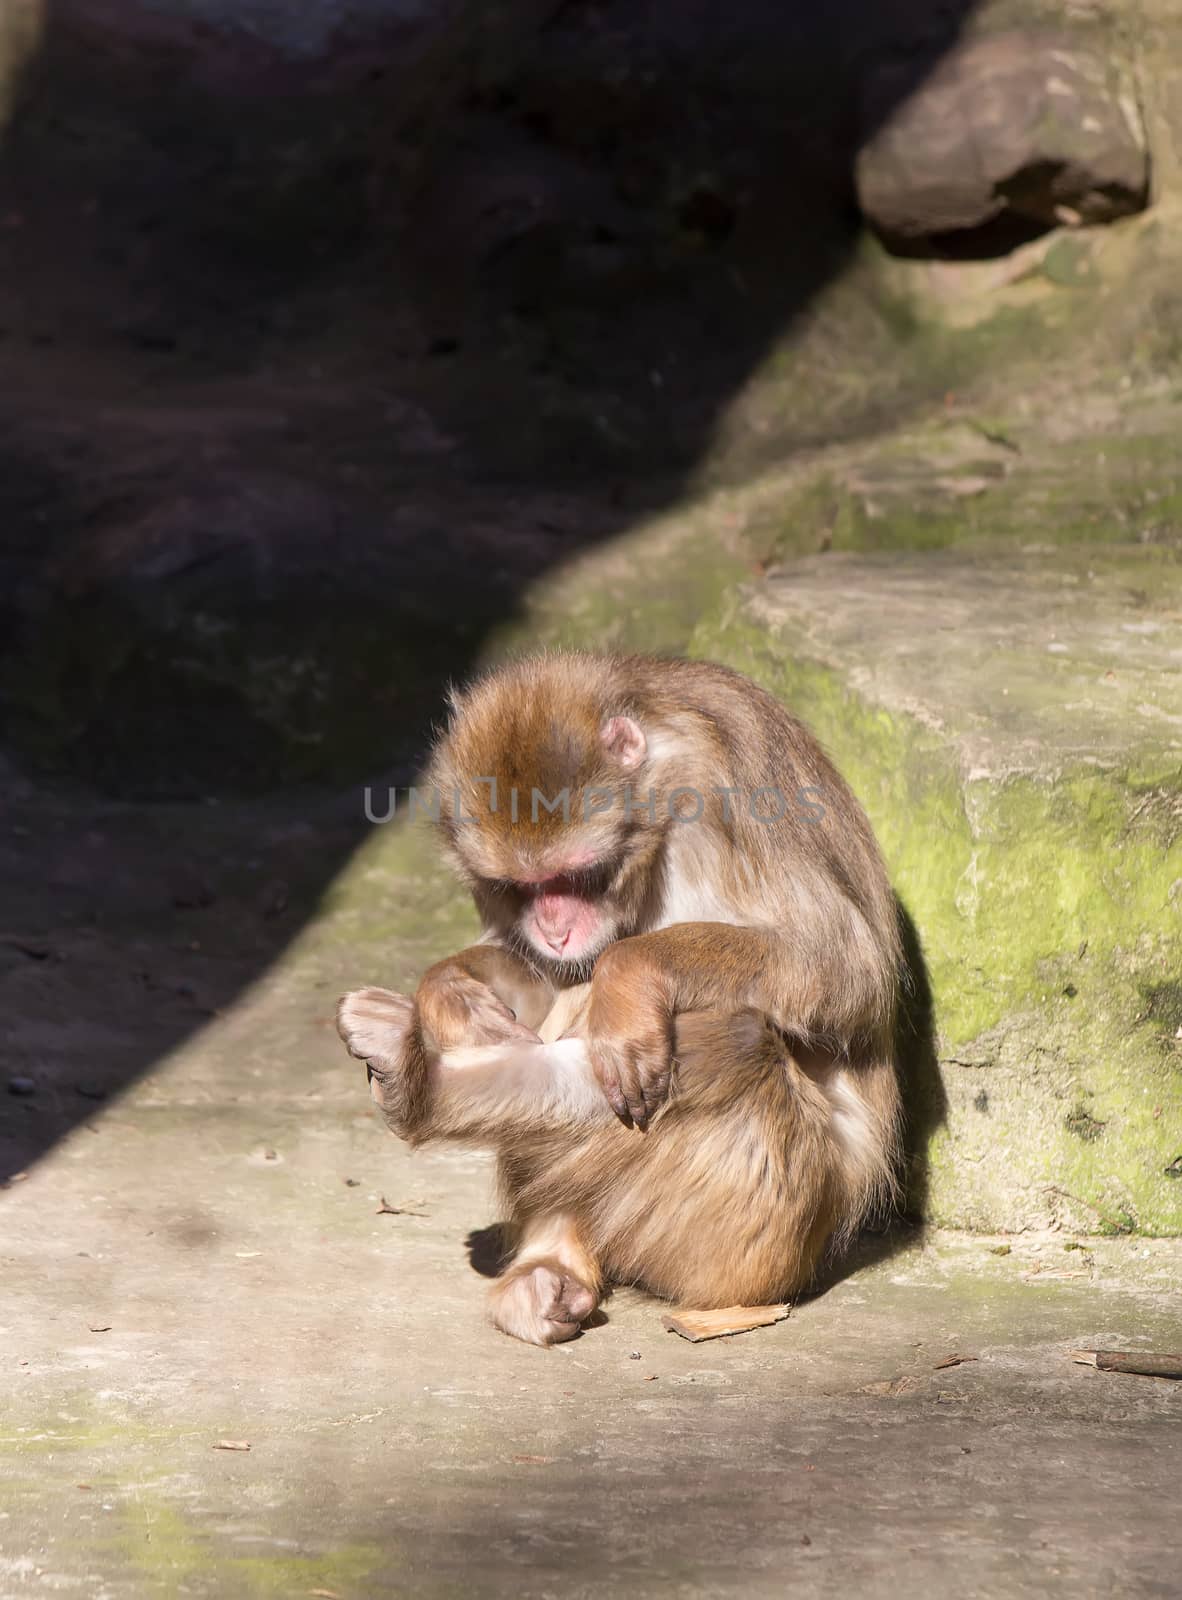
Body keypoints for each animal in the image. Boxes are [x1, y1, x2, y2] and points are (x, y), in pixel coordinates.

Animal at [337, 656, 902, 1344]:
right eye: (521, 887)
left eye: (575, 876)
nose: (554, 929)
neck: (662, 795)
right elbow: (536, 983)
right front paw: (450, 991)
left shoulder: (735, 798)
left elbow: (845, 965)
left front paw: (627, 976)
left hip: (761, 1240)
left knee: (732, 1040)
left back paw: (419, 1089)